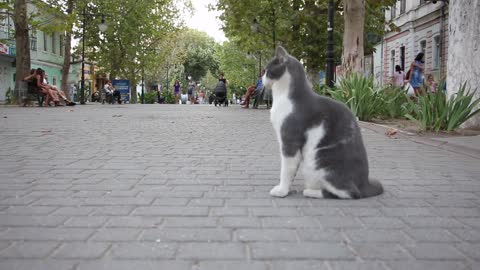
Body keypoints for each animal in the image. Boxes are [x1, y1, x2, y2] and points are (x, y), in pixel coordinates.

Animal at [262, 46, 382, 198]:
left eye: (267, 70)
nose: (261, 78)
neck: (283, 95)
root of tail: (365, 184)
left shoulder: (289, 140)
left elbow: (286, 168)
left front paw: (282, 190)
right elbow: (292, 170)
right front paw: (288, 189)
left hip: (318, 163)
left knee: (349, 193)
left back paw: (310, 192)